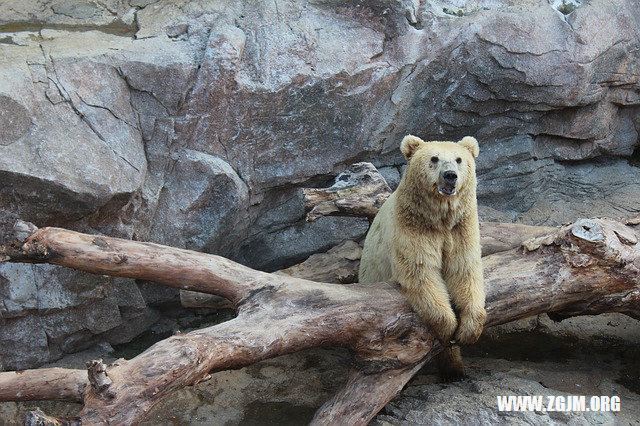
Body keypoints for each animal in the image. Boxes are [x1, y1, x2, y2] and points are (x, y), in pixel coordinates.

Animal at [360, 135, 484, 382]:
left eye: (459, 159)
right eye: (434, 158)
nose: (450, 175)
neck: (440, 219)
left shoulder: (461, 227)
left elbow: (464, 269)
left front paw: (469, 330)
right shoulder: (413, 226)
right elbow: (421, 272)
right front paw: (448, 326)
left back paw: (454, 369)